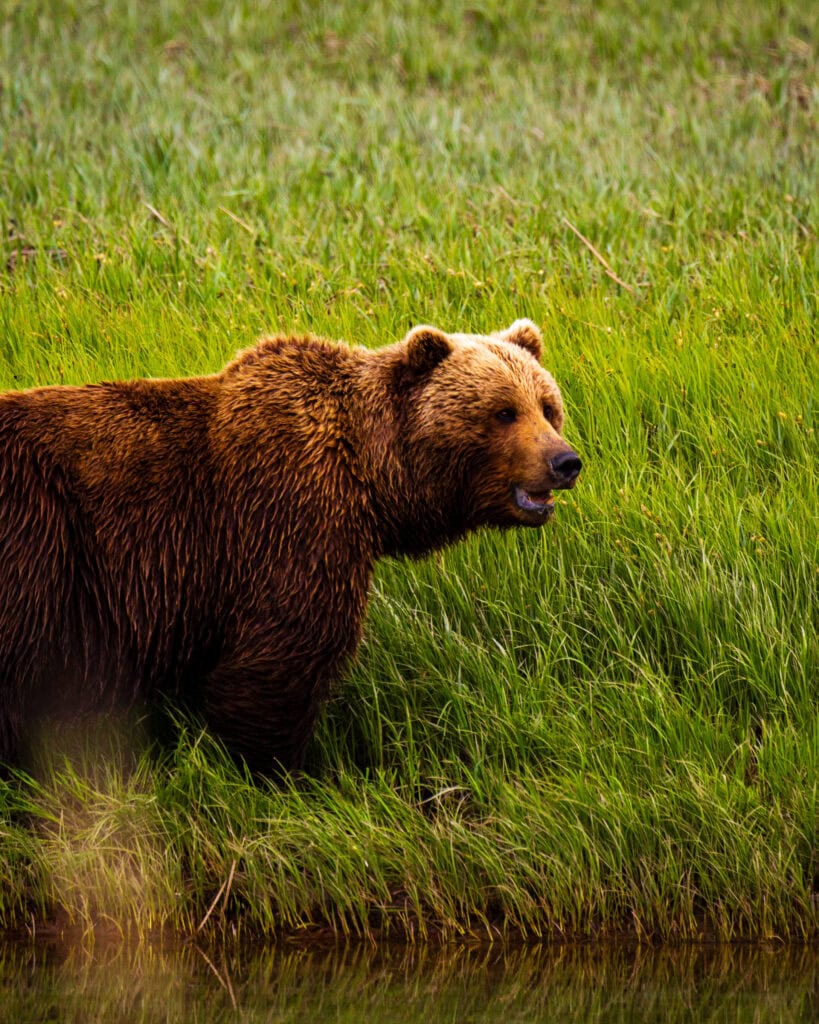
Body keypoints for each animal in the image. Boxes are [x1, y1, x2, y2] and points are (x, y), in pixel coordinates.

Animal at [0, 319, 581, 775]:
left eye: (547, 406)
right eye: (503, 411)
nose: (565, 461)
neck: (370, 478)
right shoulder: (285, 521)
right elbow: (280, 658)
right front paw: (281, 773)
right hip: (39, 544)